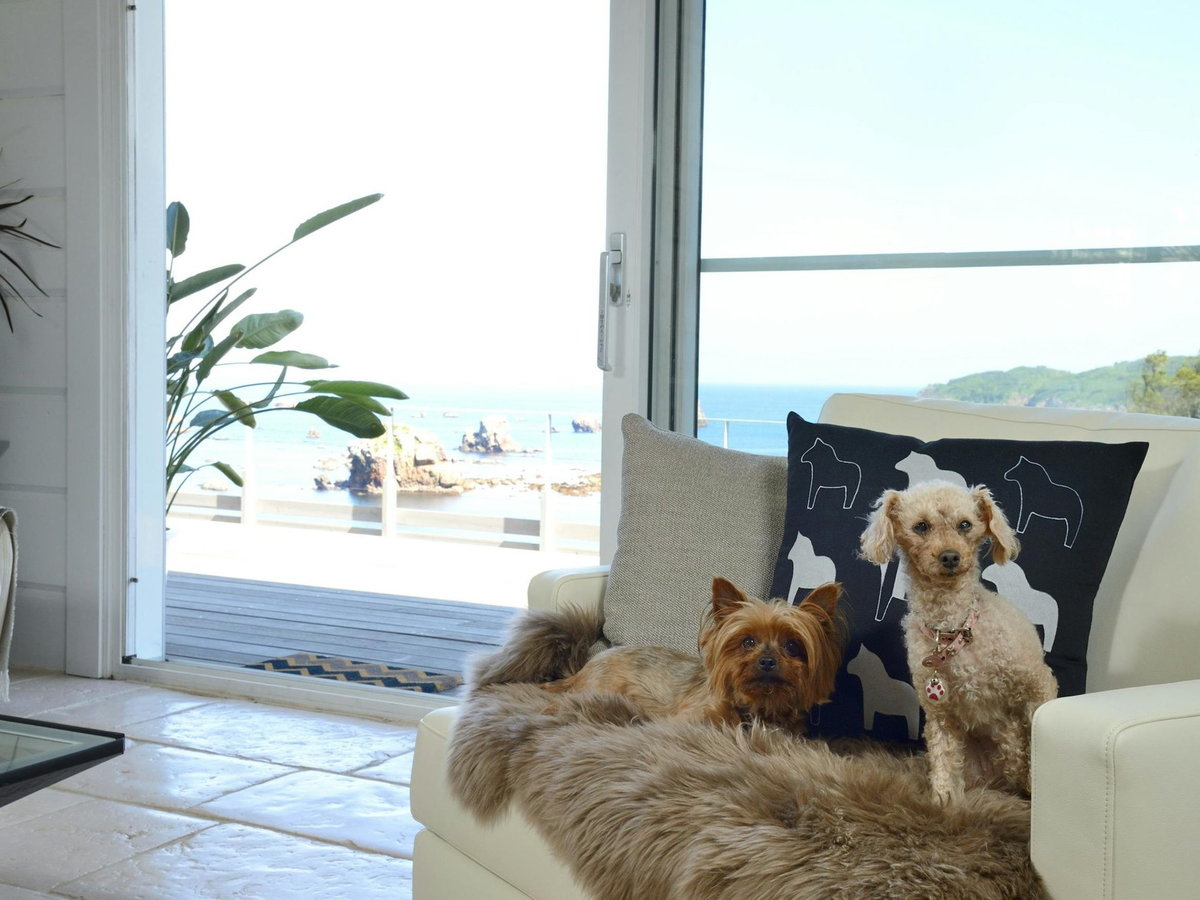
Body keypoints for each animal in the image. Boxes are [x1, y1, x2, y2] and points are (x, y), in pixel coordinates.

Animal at [471, 577, 844, 734]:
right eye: (747, 642)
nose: (767, 661)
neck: (756, 710)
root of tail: (587, 664)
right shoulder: (688, 720)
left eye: (793, 646)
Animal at [859, 480, 1057, 801]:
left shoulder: (1037, 685)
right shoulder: (941, 715)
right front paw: (943, 801)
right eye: (921, 526)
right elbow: (944, 762)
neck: (953, 631)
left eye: (965, 524)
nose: (950, 556)